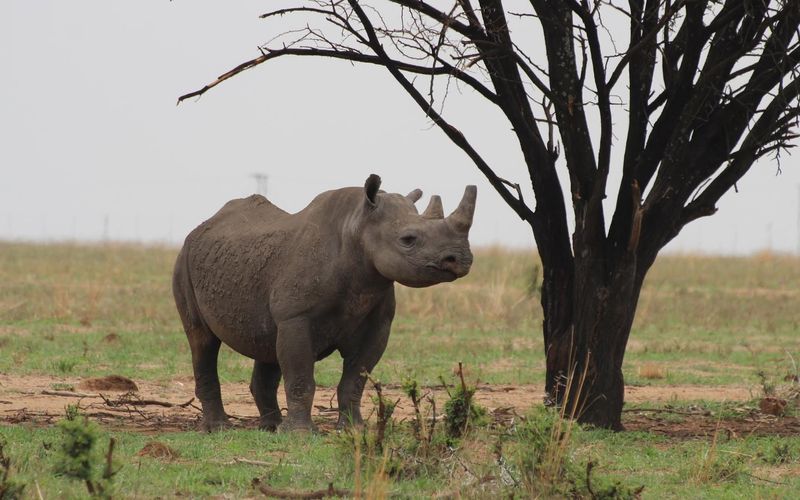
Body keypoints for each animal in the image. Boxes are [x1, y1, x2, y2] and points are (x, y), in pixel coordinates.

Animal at [172, 174, 476, 432]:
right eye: (408, 239)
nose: (460, 258)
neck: (357, 228)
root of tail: (201, 227)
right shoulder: (296, 318)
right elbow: (300, 377)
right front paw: (301, 435)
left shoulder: (378, 323)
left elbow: (355, 379)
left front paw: (354, 429)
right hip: (183, 261)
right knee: (202, 340)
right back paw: (219, 429)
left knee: (267, 343)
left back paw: (271, 428)